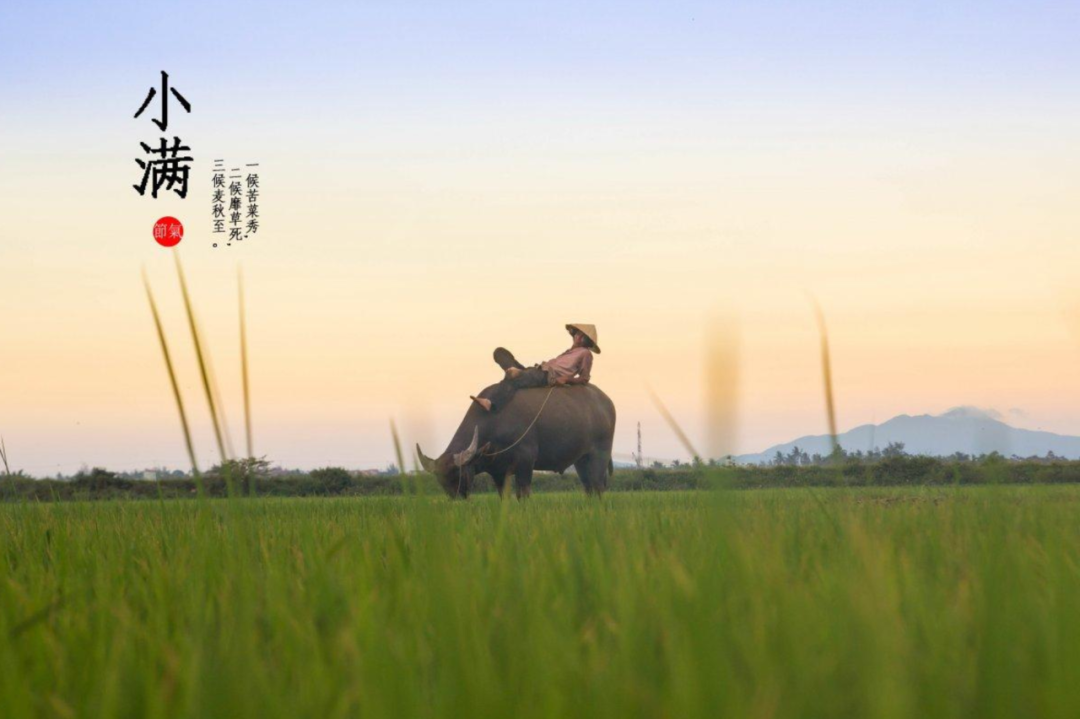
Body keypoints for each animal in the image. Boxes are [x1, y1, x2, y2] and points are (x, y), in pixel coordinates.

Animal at [414, 384, 617, 496]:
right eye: (440, 480)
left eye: (458, 474)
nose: (457, 498)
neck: (494, 422)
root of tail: (606, 402)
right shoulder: (498, 473)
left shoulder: (525, 463)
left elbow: (523, 494)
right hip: (581, 460)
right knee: (589, 487)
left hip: (600, 454)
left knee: (598, 486)